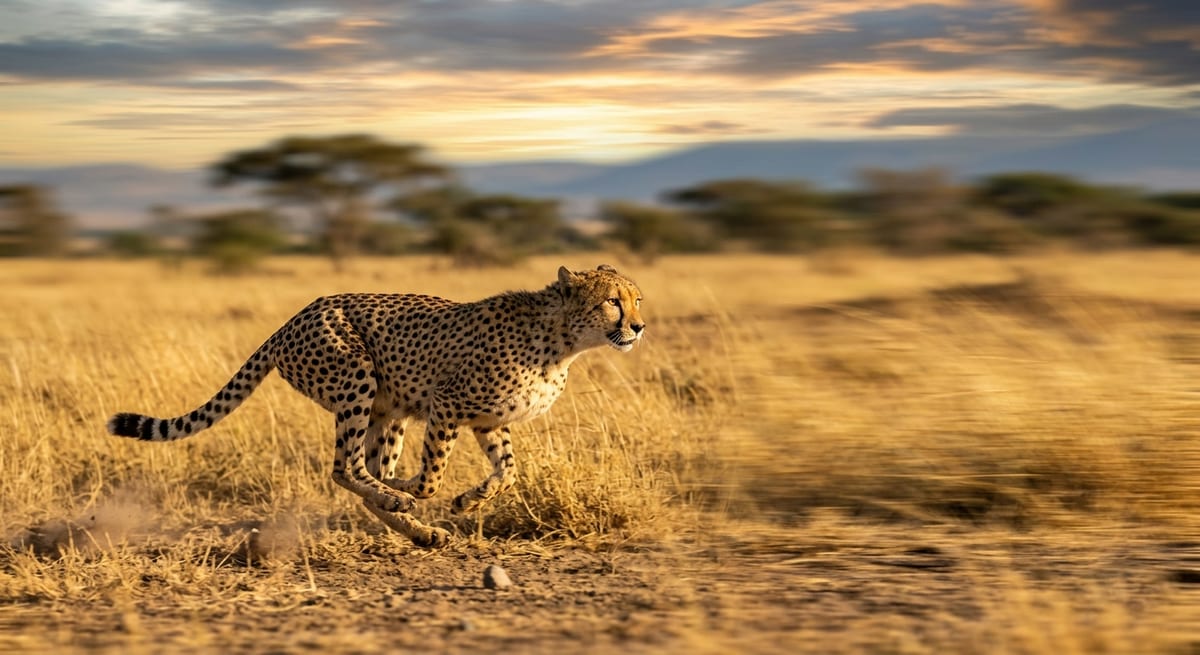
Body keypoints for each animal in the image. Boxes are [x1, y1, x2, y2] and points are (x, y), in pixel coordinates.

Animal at [107, 264, 645, 548]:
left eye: (637, 300)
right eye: (613, 302)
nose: (639, 327)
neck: (563, 342)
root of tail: (292, 318)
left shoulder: (488, 421)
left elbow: (508, 473)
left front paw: (466, 502)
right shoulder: (446, 403)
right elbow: (432, 476)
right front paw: (414, 489)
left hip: (388, 411)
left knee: (364, 471)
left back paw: (418, 530)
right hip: (356, 378)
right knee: (345, 467)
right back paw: (399, 501)